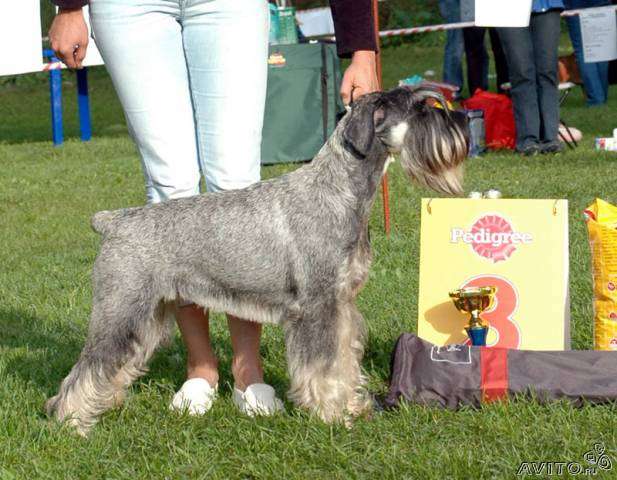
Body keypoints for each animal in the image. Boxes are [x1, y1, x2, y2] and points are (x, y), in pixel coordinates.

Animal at [47, 86, 466, 436]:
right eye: (420, 108)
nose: (463, 121)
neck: (338, 190)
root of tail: (113, 221)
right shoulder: (317, 308)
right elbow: (324, 366)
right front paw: (333, 415)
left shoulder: (341, 306)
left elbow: (344, 359)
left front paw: (352, 406)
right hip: (120, 310)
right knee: (88, 367)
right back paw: (71, 421)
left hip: (148, 314)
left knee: (113, 365)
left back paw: (104, 403)